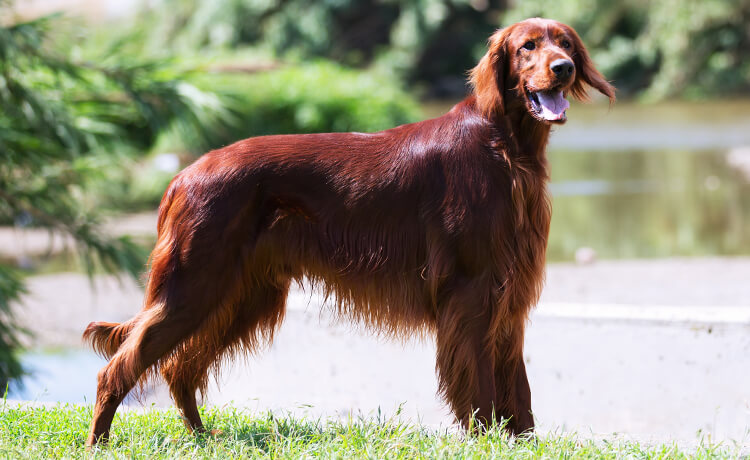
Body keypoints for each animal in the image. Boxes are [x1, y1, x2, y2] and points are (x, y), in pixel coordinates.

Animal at [83, 18, 612, 446]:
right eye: (527, 46)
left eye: (565, 42)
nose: (563, 68)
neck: (504, 146)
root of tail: (184, 174)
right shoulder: (471, 290)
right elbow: (480, 385)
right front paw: (485, 440)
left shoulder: (510, 294)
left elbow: (518, 387)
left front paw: (523, 442)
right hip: (193, 286)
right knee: (118, 368)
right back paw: (100, 443)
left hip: (240, 295)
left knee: (180, 369)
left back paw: (200, 436)